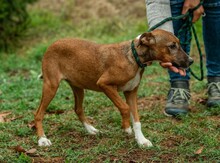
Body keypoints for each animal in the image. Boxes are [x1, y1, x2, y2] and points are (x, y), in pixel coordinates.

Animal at [34, 29, 192, 146]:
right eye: (172, 46)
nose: (191, 61)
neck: (134, 57)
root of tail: (52, 45)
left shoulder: (131, 93)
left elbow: (137, 120)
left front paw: (141, 140)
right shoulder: (105, 84)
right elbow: (124, 108)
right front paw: (126, 128)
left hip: (78, 87)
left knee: (78, 109)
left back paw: (90, 130)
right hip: (51, 86)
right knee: (38, 113)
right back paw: (42, 139)